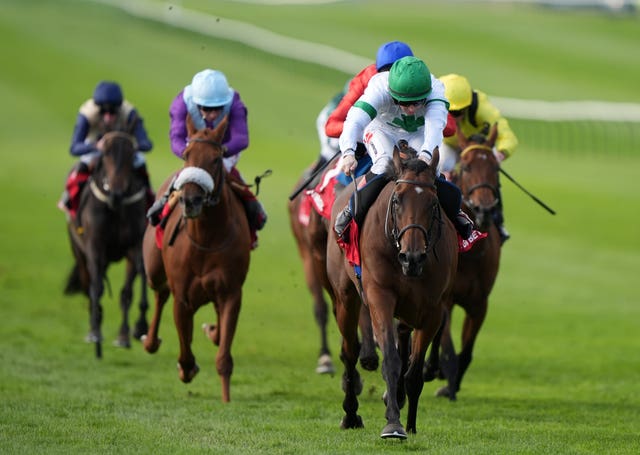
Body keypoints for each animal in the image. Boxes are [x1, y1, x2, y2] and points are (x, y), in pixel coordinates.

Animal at [65, 132, 150, 360]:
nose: (116, 194)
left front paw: (132, 331)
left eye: (131, 154)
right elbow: (96, 288)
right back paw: (94, 330)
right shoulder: (95, 247)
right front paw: (96, 336)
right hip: (79, 253)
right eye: (106, 154)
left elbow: (130, 290)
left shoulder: (134, 246)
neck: (117, 208)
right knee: (89, 285)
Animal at [141, 116, 251, 402]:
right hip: (154, 269)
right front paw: (186, 368)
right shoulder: (182, 297)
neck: (206, 238)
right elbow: (185, 350)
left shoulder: (231, 292)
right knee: (159, 293)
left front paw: (226, 398)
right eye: (186, 154)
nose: (190, 199)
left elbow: (223, 355)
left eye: (215, 159)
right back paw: (150, 341)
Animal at [328, 147, 458, 438]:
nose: (412, 257)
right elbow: (390, 359)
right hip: (345, 298)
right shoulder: (379, 295)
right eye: (397, 200)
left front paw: (410, 424)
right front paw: (393, 424)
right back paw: (350, 413)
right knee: (349, 352)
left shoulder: (432, 310)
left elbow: (414, 372)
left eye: (433, 203)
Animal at [428, 124, 502, 400]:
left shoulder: (479, 304)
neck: (470, 252)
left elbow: (467, 352)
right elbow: (448, 347)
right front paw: (445, 380)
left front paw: (452, 381)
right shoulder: (446, 300)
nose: (484, 209)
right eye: (467, 166)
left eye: (495, 168)